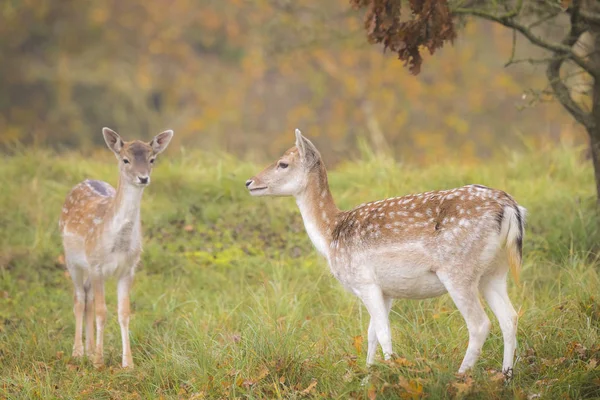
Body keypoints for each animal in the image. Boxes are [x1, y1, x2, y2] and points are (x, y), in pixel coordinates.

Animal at [59, 126, 173, 368]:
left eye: (152, 159)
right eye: (125, 159)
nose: (143, 177)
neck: (117, 245)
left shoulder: (128, 269)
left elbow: (124, 313)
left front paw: (127, 363)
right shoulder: (96, 265)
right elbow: (102, 312)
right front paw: (99, 362)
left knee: (88, 297)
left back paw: (89, 349)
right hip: (72, 260)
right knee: (79, 299)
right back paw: (78, 352)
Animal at [244, 129, 524, 378]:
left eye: (283, 163)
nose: (249, 182)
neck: (331, 235)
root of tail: (509, 207)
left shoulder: (364, 281)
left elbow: (383, 332)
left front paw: (391, 374)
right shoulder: (386, 290)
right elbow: (371, 334)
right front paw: (368, 374)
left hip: (458, 270)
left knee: (480, 324)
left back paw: (461, 376)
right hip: (494, 271)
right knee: (509, 317)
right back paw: (507, 376)